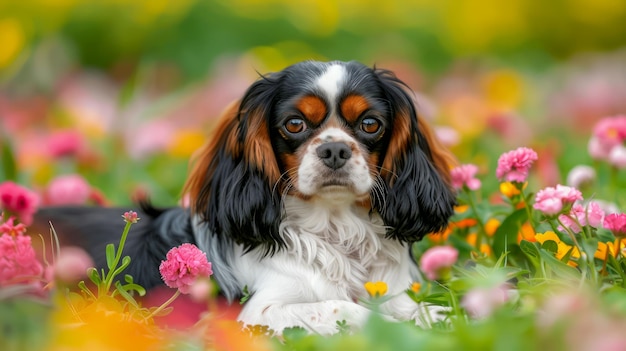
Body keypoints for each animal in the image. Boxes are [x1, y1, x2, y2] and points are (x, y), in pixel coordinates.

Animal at [35, 60, 454, 336]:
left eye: (370, 124)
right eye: (294, 124)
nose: (334, 149)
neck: (334, 230)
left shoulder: (394, 290)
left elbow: (418, 307)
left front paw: (439, 317)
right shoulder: (258, 315)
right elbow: (344, 307)